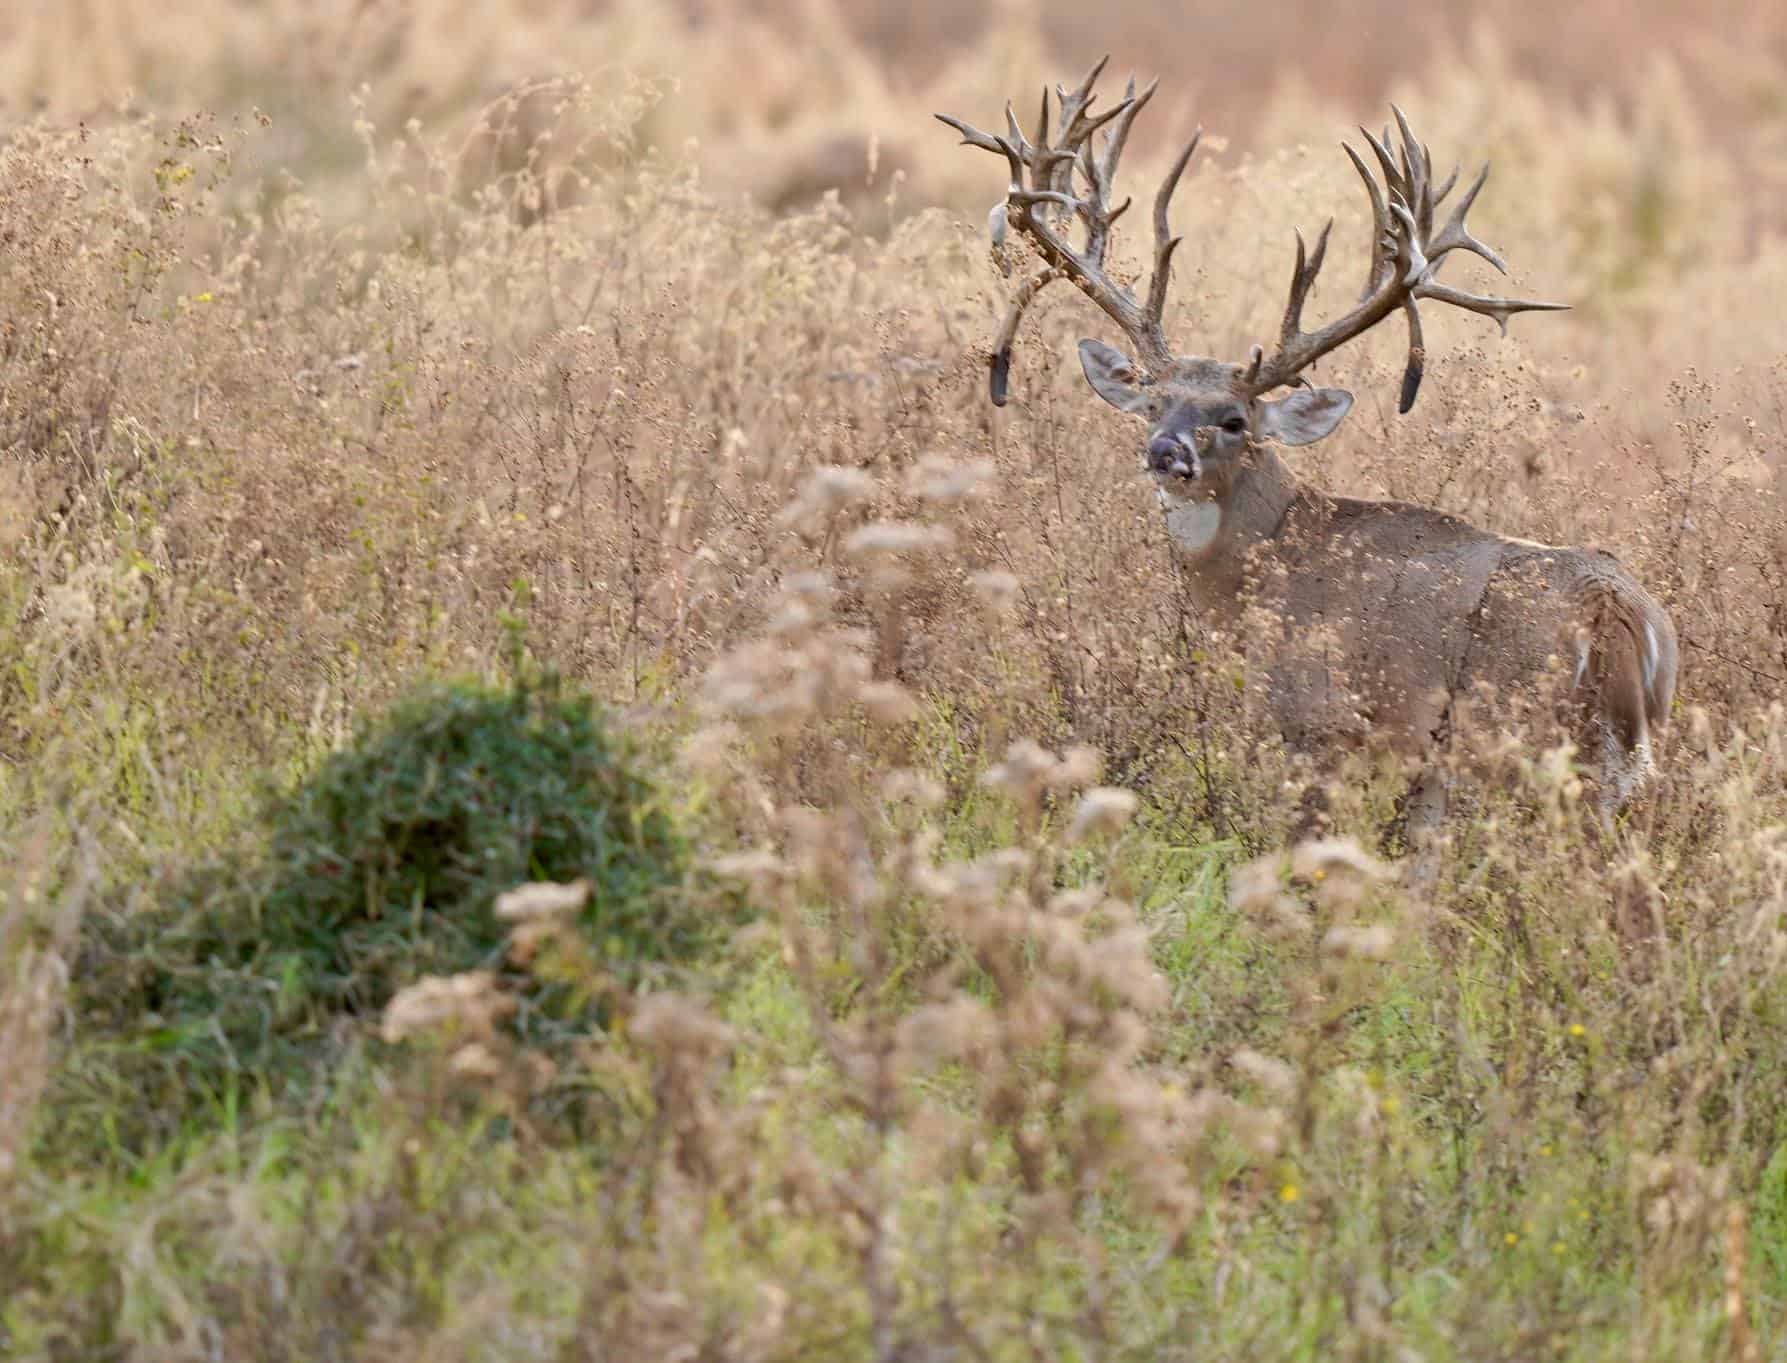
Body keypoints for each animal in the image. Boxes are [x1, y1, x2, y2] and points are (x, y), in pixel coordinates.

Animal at [937, 60, 1678, 841]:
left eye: (1235, 419)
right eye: (1152, 400)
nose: (1166, 452)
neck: (1266, 566)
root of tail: (1614, 614)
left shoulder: (1313, 724)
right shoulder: (1425, 769)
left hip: (1526, 738)